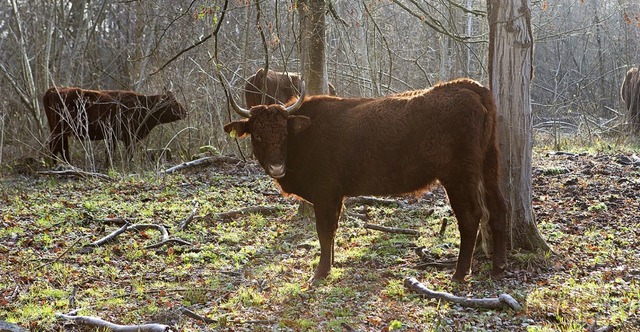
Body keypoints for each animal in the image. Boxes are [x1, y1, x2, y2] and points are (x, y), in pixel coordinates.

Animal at [43, 85, 185, 163]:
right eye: (173, 102)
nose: (185, 111)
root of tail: (53, 89)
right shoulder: (128, 137)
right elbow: (128, 154)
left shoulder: (113, 137)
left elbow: (110, 153)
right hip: (59, 130)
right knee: (56, 146)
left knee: (60, 147)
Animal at [222, 78, 508, 282]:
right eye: (257, 134)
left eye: (283, 133)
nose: (276, 166)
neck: (304, 134)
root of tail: (469, 87)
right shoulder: (334, 196)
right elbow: (332, 230)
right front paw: (330, 264)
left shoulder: (325, 194)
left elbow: (324, 230)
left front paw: (320, 273)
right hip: (489, 166)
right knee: (498, 208)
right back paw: (499, 266)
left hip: (458, 176)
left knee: (471, 216)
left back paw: (459, 273)